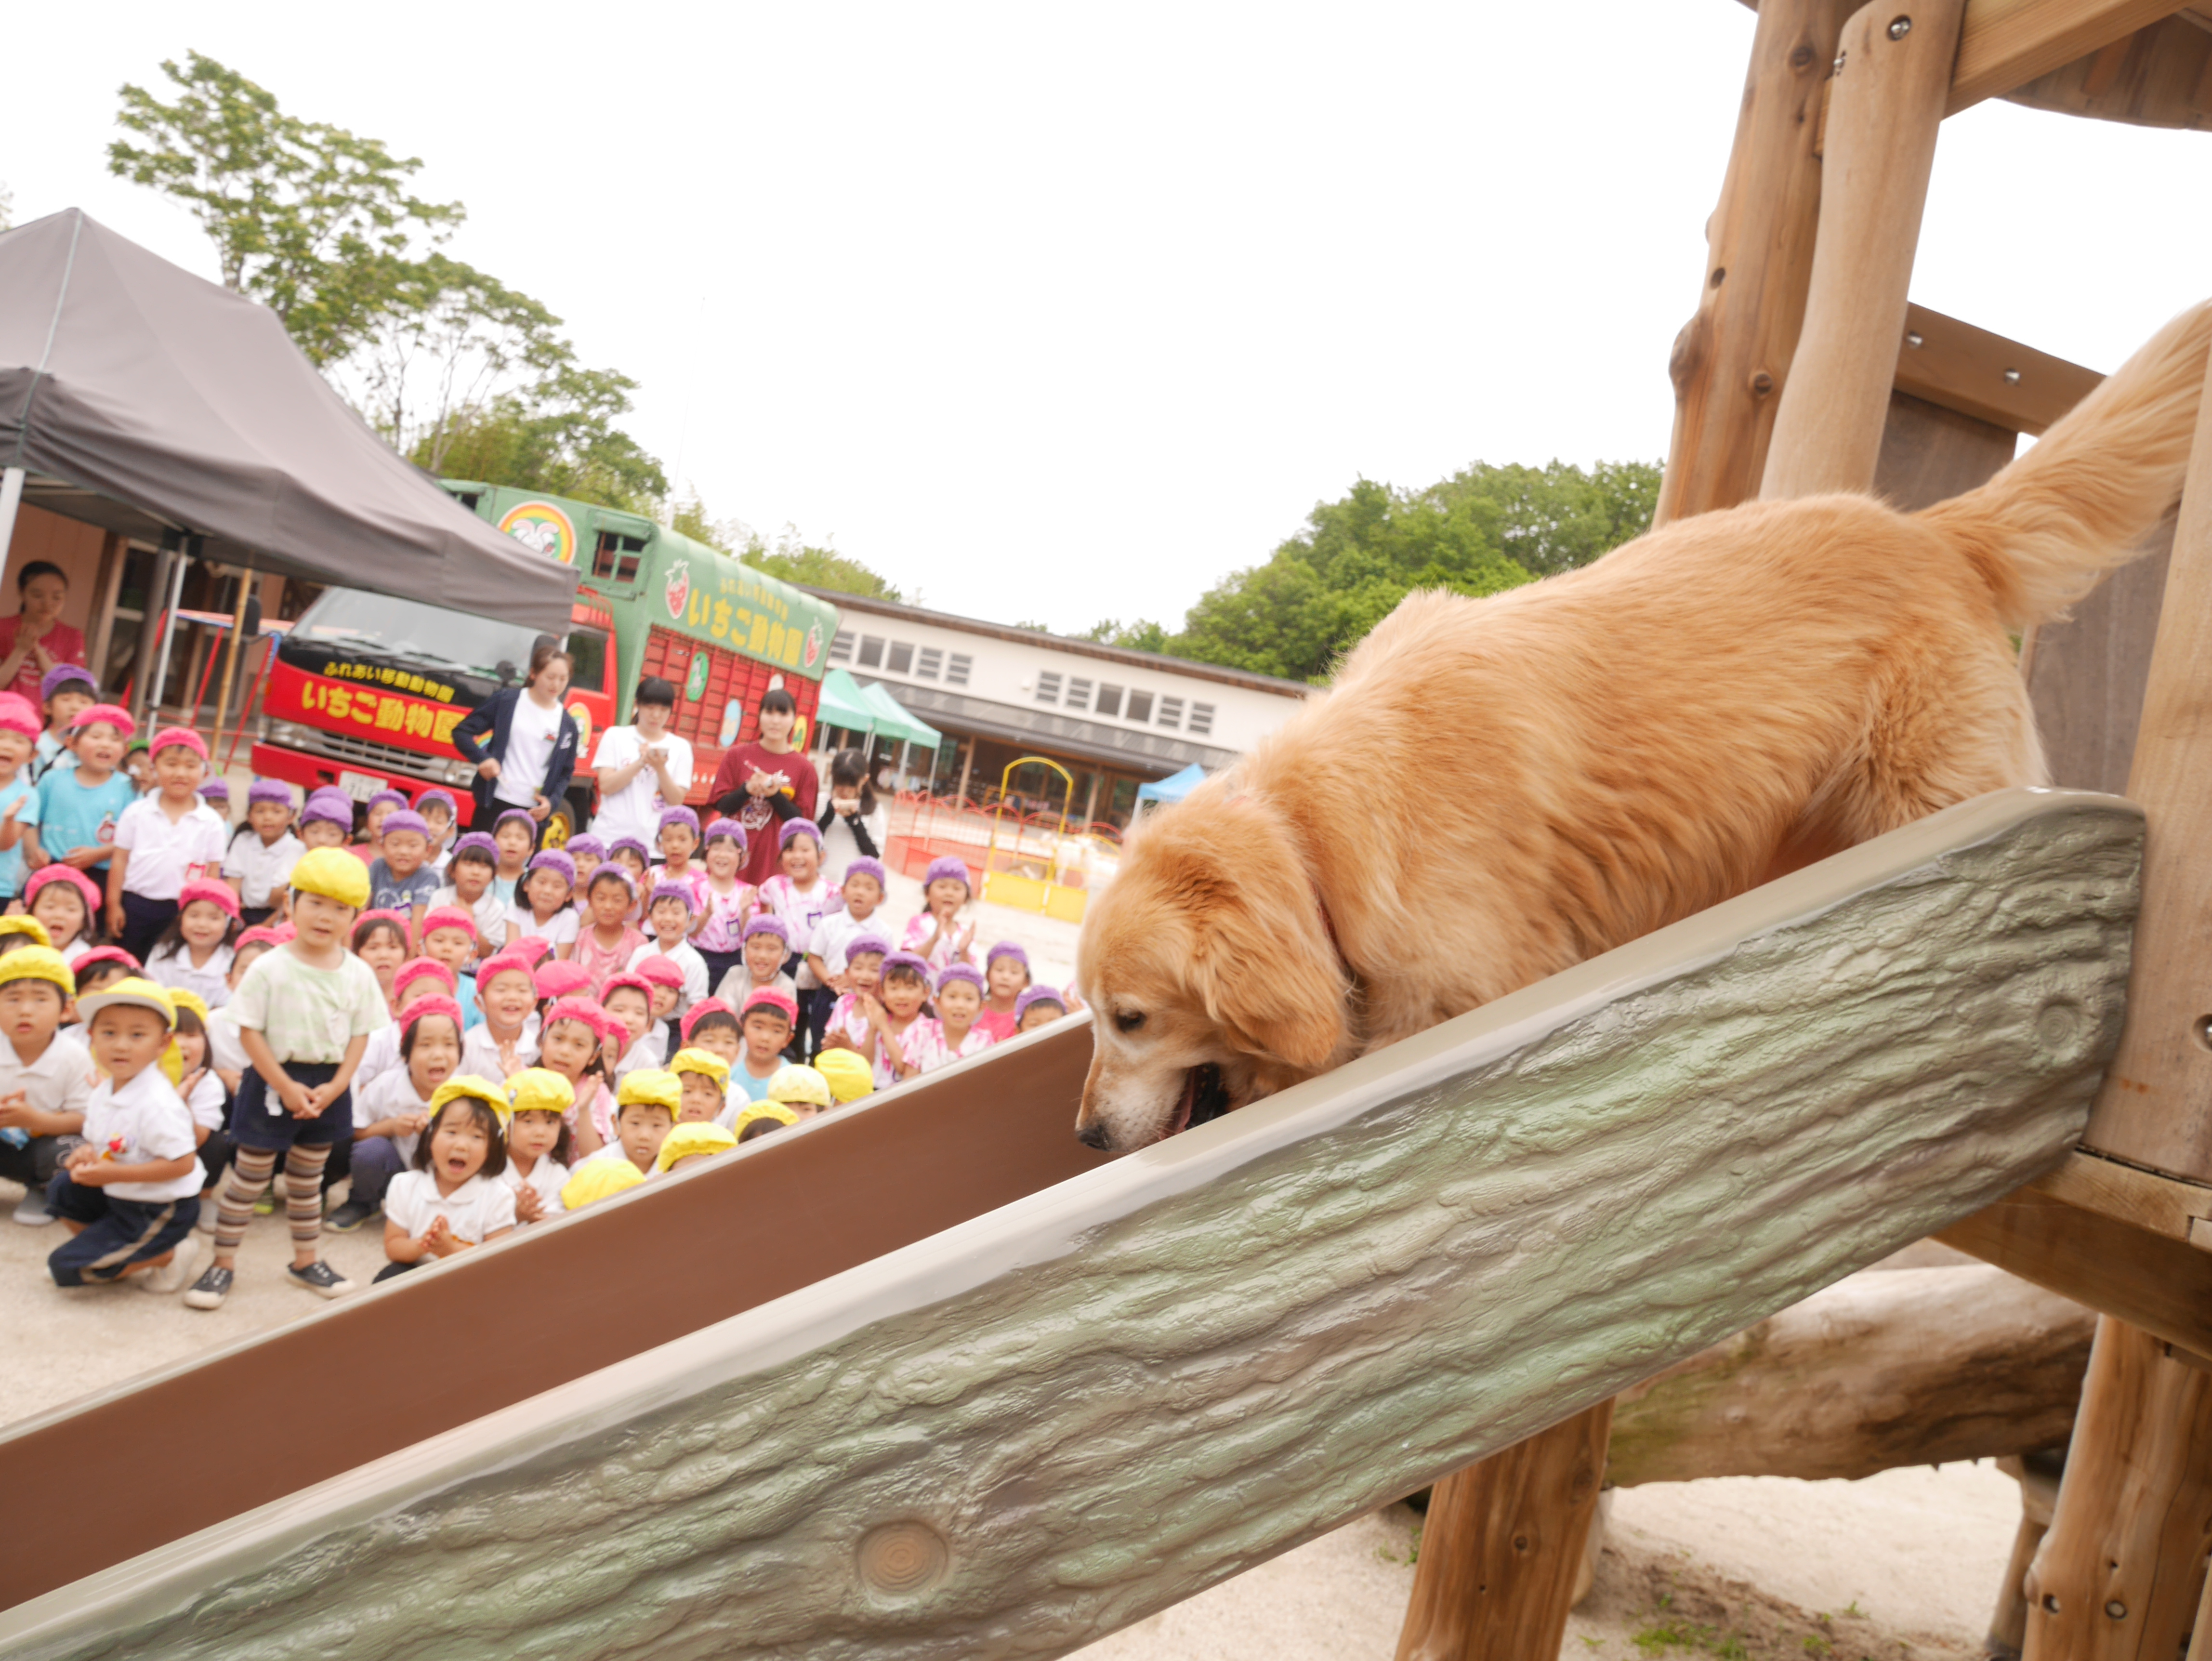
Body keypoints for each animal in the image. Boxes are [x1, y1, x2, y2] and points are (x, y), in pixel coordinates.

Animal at [1075, 303, 2212, 1159]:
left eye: (1130, 1016)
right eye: (1087, 1009)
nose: (1083, 1134)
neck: (1313, 841)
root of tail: (1935, 531)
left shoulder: (1465, 988)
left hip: (1922, 797)